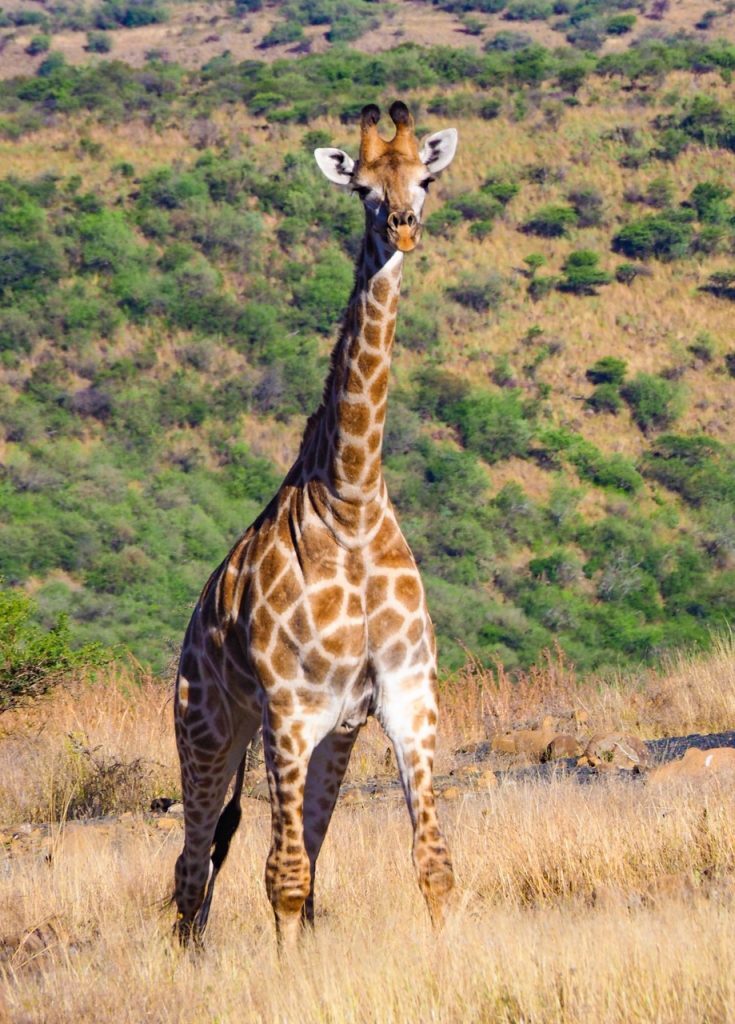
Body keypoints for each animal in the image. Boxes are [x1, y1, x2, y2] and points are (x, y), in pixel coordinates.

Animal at [173, 100, 459, 949]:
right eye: (362, 187)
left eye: (424, 178)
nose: (402, 226)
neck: (352, 500)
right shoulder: (290, 710)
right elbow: (283, 878)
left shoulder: (403, 696)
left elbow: (432, 864)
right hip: (207, 730)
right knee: (193, 872)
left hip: (333, 733)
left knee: (270, 863)